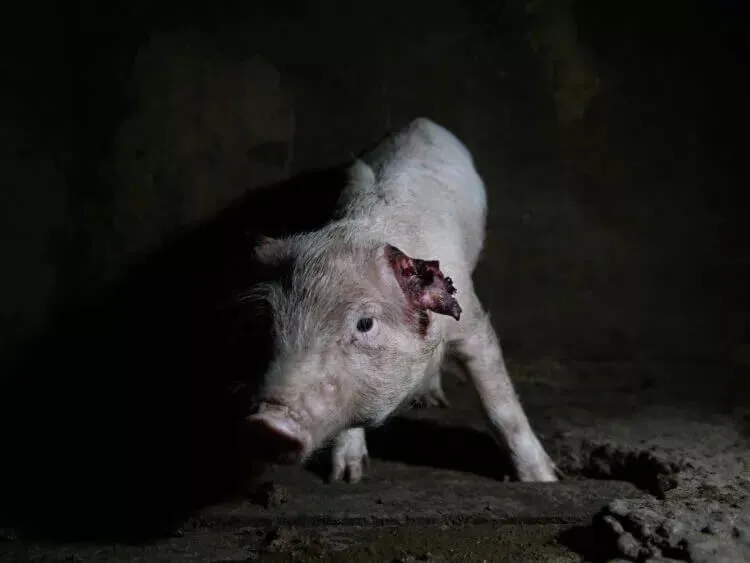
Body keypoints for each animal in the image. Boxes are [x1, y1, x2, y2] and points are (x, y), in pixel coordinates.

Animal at [247, 118, 560, 484]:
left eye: (366, 323)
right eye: (273, 320)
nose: (265, 424)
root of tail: (422, 121)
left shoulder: (472, 321)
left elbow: (500, 402)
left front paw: (544, 480)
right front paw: (346, 478)